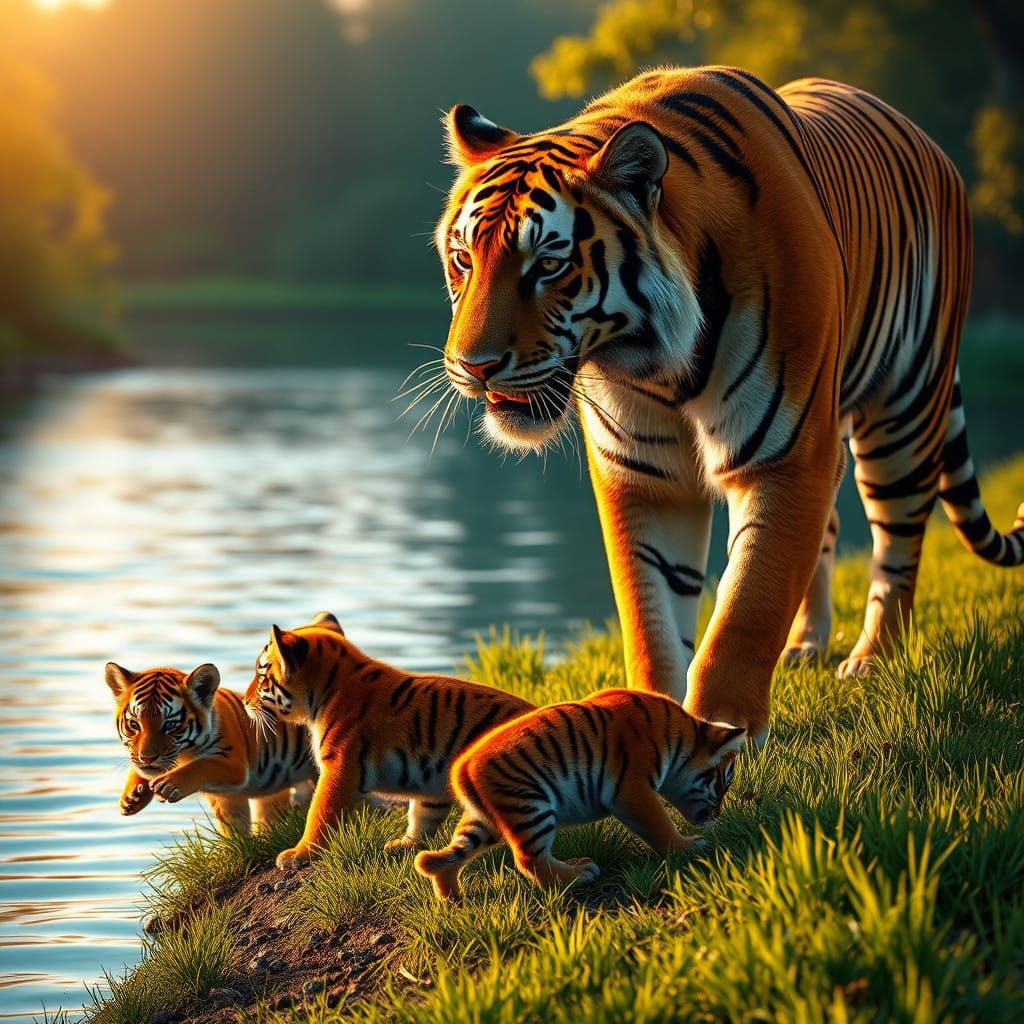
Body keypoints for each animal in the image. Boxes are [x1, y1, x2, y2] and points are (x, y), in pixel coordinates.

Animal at [105, 661, 317, 835]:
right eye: (134, 725)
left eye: (170, 725)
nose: (147, 758)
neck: (184, 753)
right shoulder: (227, 797)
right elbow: (234, 829)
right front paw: (132, 796)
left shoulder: (234, 765)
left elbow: (202, 764)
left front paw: (168, 785)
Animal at [242, 611, 534, 869]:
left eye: (260, 676)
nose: (244, 701)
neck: (325, 694)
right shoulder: (432, 785)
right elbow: (422, 814)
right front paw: (407, 845)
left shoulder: (338, 769)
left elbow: (319, 813)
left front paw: (299, 854)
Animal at [415, 688, 745, 900]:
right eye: (723, 784)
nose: (718, 813)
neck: (681, 738)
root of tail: (462, 768)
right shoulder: (634, 791)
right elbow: (660, 827)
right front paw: (689, 847)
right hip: (530, 807)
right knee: (529, 860)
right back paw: (579, 874)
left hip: (486, 822)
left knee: (448, 854)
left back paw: (450, 893)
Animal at [433, 66, 1024, 744]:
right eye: (463, 259)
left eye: (550, 265)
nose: (472, 367)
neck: (655, 363)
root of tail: (927, 141)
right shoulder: (646, 475)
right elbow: (651, 613)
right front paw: (650, 721)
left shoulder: (785, 458)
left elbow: (748, 605)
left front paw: (722, 728)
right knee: (829, 528)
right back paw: (806, 647)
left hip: (904, 410)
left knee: (898, 544)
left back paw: (870, 660)